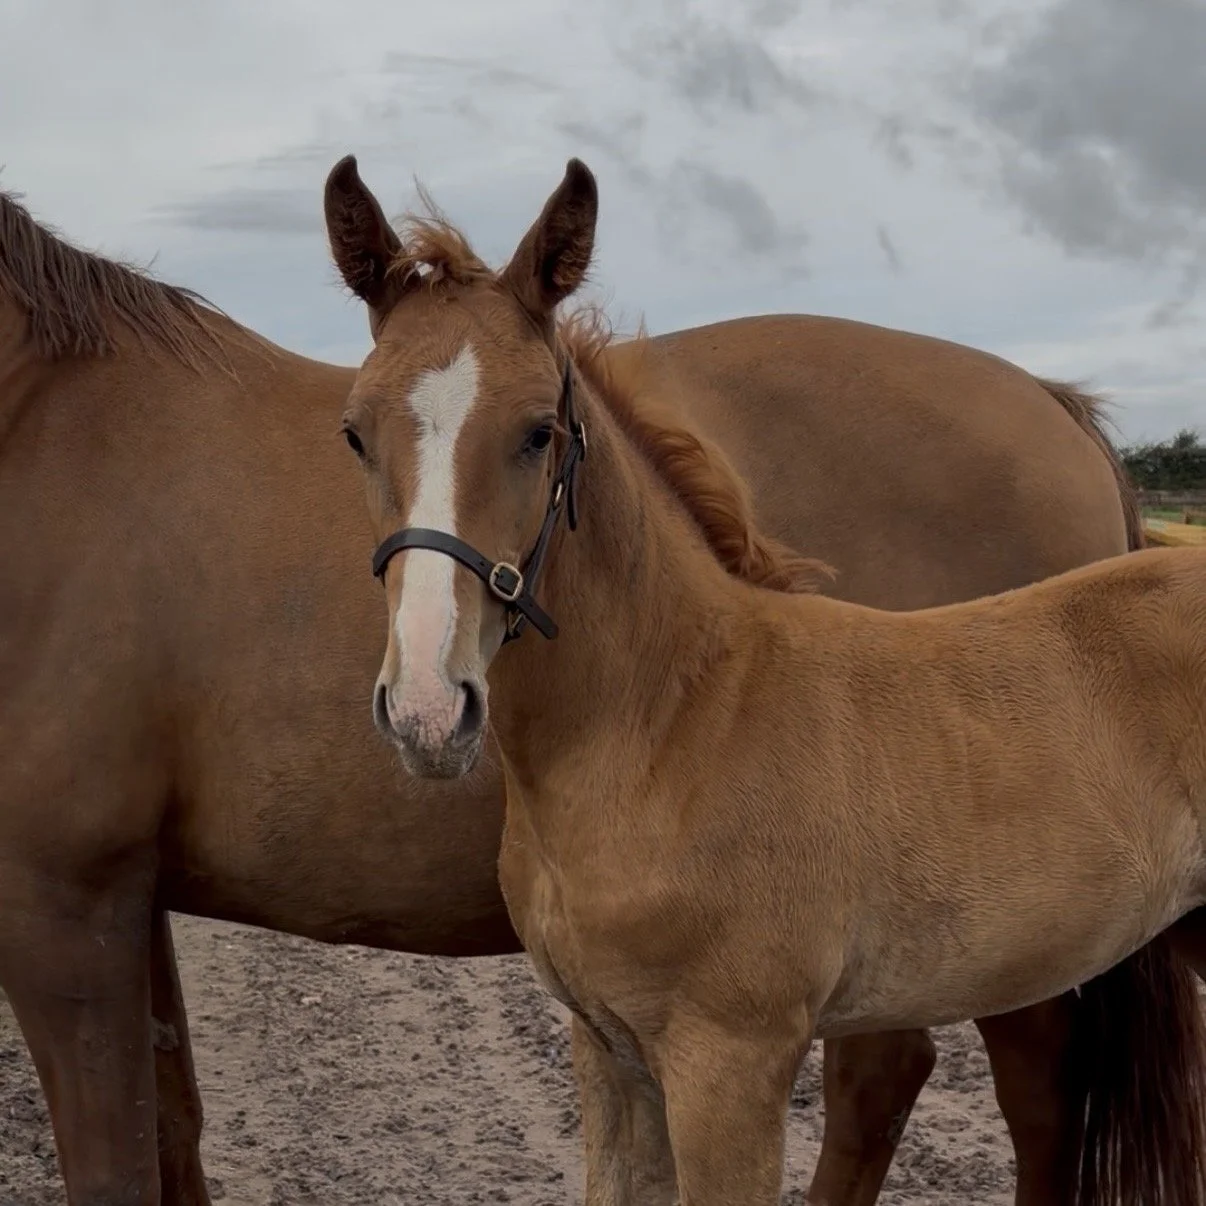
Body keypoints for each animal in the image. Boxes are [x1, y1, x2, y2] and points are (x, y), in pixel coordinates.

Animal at [0, 177, 1184, 1206]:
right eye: (351, 434)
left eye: (540, 433)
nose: (426, 705)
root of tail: (1054, 403)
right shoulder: (124, 894)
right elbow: (173, 1130)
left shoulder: (61, 903)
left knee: (1021, 1093)